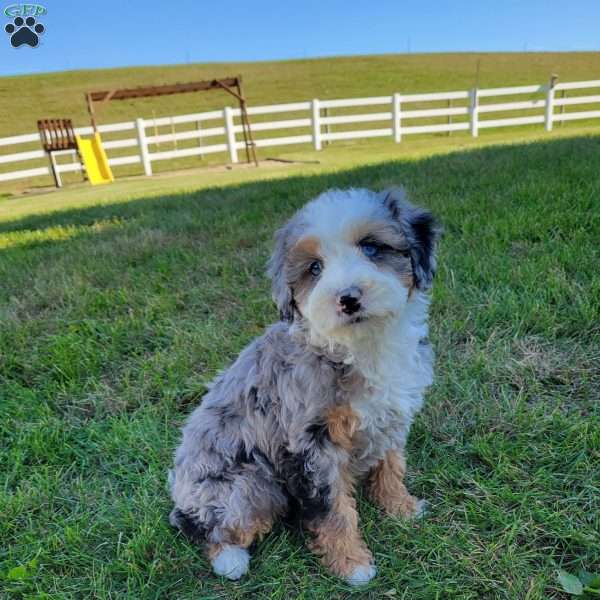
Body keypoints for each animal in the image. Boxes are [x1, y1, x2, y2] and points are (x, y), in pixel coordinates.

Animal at [169, 189, 440, 584]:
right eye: (315, 268)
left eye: (371, 248)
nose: (348, 299)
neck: (358, 346)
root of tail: (179, 496)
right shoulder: (311, 445)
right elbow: (332, 511)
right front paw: (352, 565)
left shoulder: (390, 418)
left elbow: (391, 467)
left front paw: (401, 508)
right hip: (250, 484)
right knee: (208, 529)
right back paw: (230, 560)